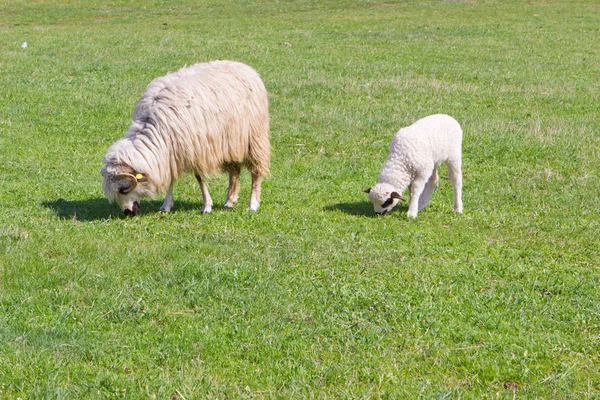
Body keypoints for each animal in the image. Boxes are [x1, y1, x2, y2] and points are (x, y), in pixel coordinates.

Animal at [101, 60, 270, 216]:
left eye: (124, 189)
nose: (128, 213)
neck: (155, 128)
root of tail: (243, 66)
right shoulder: (170, 153)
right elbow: (170, 179)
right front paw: (166, 206)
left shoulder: (197, 149)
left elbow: (200, 178)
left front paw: (206, 206)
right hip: (231, 142)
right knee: (234, 171)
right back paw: (229, 201)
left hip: (255, 137)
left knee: (256, 172)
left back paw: (253, 204)